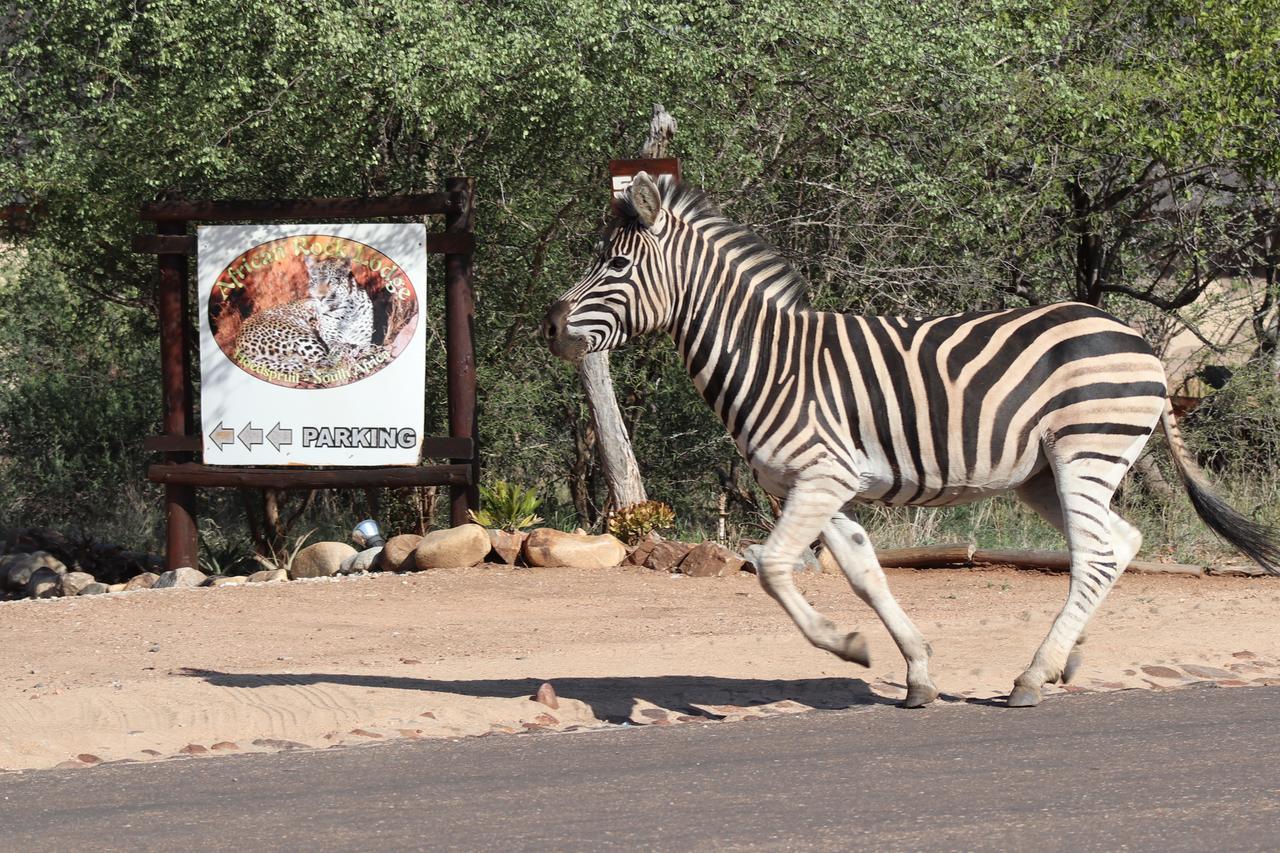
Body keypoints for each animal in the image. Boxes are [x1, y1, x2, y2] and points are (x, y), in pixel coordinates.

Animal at [234, 253, 384, 384]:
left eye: (331, 281)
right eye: (314, 281)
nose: (319, 297)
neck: (347, 312)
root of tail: (239, 345)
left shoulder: (364, 340)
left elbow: (362, 346)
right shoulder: (331, 340)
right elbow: (339, 348)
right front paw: (353, 351)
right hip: (301, 336)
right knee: (323, 365)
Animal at [545, 171, 1280, 701]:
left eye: (614, 266)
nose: (550, 325)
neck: (770, 357)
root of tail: (1141, 342)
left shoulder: (823, 474)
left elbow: (775, 567)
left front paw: (846, 645)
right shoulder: (821, 485)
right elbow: (865, 571)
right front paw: (915, 670)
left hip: (1084, 451)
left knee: (1098, 553)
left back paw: (1031, 677)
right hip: (1046, 473)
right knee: (1113, 544)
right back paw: (1064, 660)